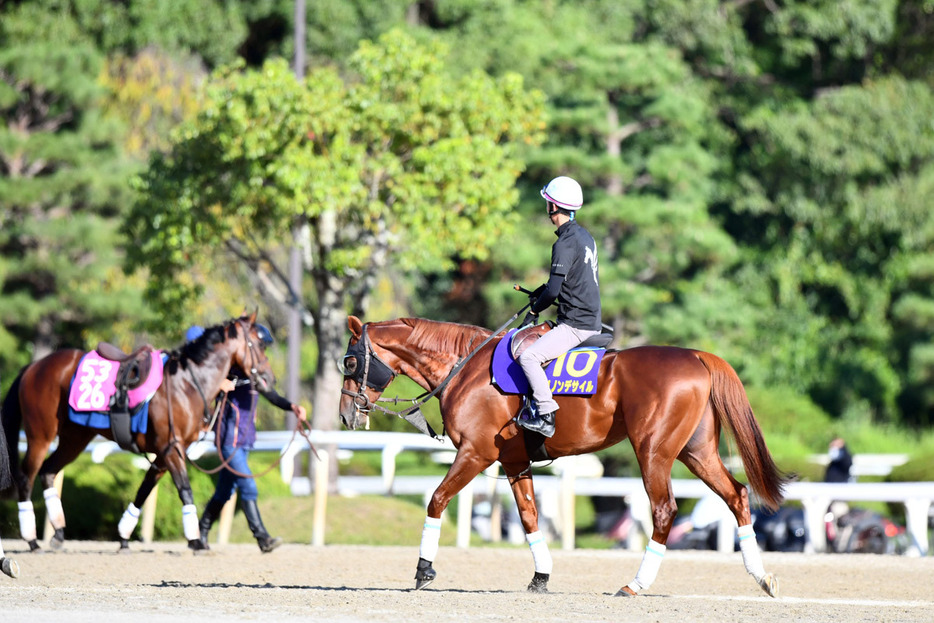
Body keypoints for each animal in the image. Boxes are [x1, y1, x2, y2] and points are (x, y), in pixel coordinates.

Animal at [1, 312, 274, 552]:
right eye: (259, 344)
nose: (268, 378)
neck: (186, 384)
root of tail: (34, 366)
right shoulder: (171, 448)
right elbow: (185, 490)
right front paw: (195, 540)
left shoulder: (165, 453)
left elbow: (144, 490)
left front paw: (124, 536)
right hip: (41, 436)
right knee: (27, 477)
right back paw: (32, 540)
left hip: (74, 438)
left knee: (48, 471)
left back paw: (58, 533)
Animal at [340, 316, 792, 600]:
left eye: (350, 360)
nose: (346, 414)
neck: (466, 368)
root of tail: (696, 355)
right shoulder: (513, 461)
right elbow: (528, 517)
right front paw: (541, 576)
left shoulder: (475, 453)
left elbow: (436, 500)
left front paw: (423, 570)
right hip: (695, 453)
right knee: (737, 496)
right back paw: (761, 577)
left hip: (654, 452)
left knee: (664, 510)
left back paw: (635, 584)